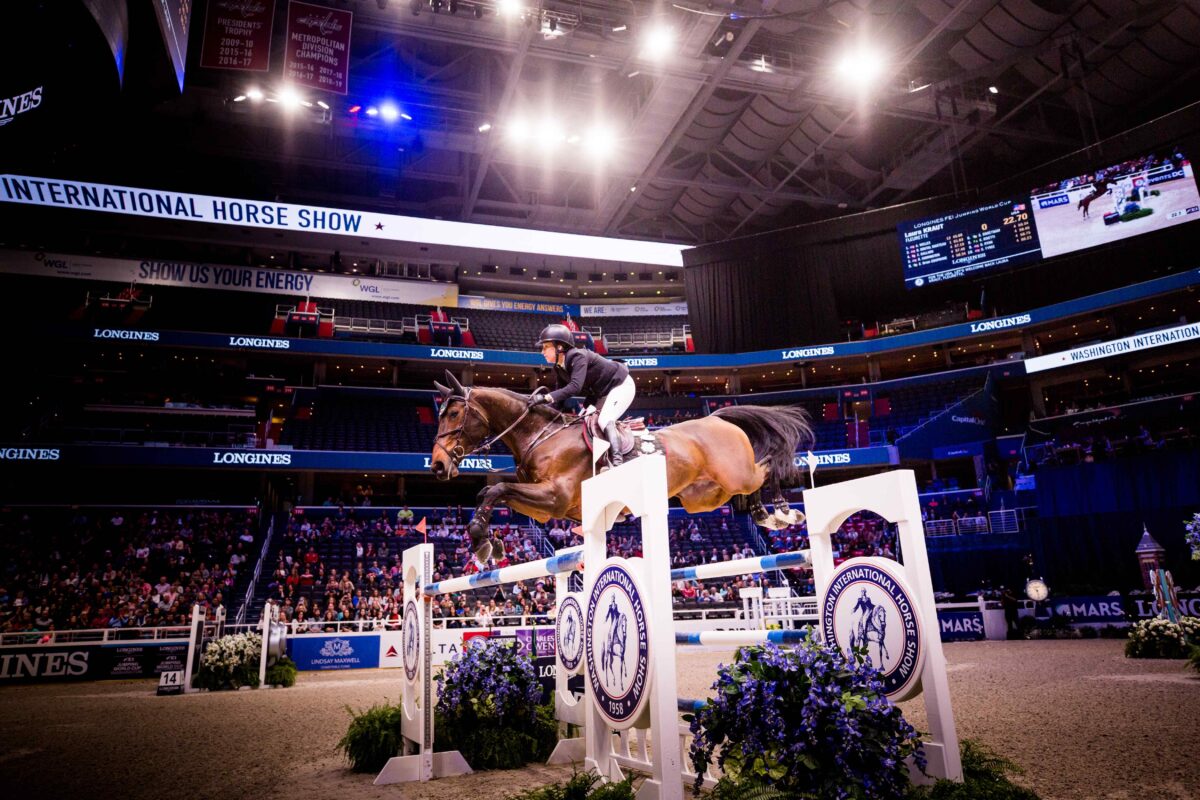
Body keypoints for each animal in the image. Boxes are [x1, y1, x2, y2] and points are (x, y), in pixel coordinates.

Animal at [428, 371, 812, 563]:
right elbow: (492, 491)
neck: (541, 436)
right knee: (749, 487)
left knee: (766, 467)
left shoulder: (554, 497)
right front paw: (488, 540)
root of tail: (717, 417)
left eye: (454, 413)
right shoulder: (546, 508)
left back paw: (782, 511)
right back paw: (765, 515)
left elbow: (496, 488)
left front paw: (481, 539)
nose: (437, 466)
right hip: (704, 497)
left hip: (735, 474)